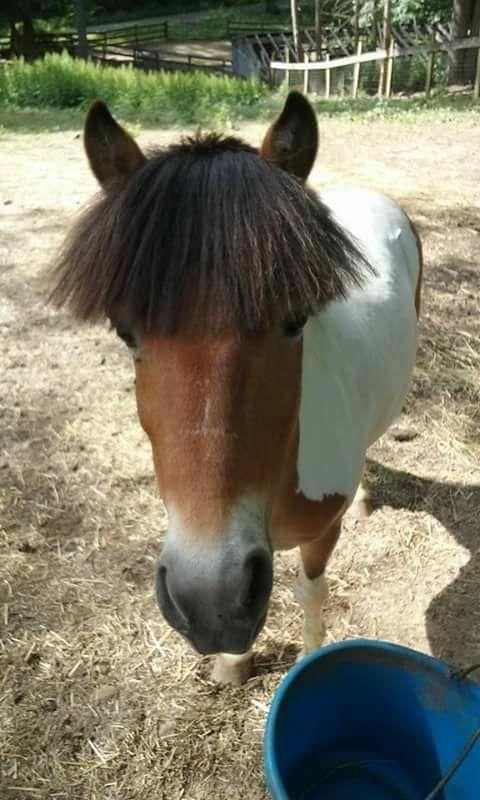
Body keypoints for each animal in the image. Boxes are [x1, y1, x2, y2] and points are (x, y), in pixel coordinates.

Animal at [50, 91, 422, 686]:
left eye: (296, 320)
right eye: (124, 331)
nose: (211, 602)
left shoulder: (321, 537)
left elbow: (310, 594)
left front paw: (308, 660)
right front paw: (232, 660)